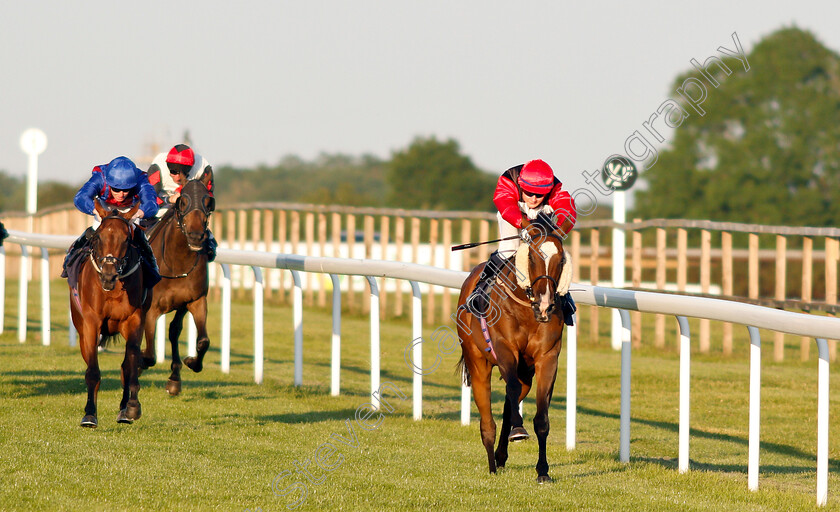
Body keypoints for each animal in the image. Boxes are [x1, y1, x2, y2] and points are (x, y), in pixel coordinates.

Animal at [70, 202, 148, 426]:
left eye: (127, 239)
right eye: (98, 237)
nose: (108, 275)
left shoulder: (134, 320)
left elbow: (131, 364)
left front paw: (132, 407)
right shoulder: (91, 323)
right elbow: (92, 371)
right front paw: (89, 414)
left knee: (126, 366)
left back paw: (124, 409)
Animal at [140, 168, 217, 396]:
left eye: (208, 201)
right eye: (182, 201)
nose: (196, 236)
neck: (177, 262)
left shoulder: (195, 301)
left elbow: (203, 341)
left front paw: (191, 363)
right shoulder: (151, 308)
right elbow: (149, 354)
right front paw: (139, 363)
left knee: (174, 330)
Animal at [456, 213, 576, 484]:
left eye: (561, 258)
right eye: (531, 256)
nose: (545, 305)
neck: (527, 309)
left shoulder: (547, 357)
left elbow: (541, 419)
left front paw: (543, 471)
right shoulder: (504, 349)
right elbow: (509, 390)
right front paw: (519, 430)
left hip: (525, 373)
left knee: (510, 403)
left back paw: (501, 456)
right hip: (478, 362)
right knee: (488, 418)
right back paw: (492, 463)